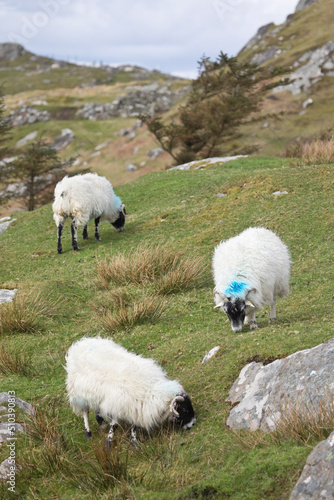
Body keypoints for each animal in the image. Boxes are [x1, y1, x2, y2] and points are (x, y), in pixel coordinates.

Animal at [64, 336, 196, 450]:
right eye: (184, 409)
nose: (193, 423)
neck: (150, 390)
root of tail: (82, 342)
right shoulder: (117, 404)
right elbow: (115, 425)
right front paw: (109, 443)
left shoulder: (134, 406)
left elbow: (134, 426)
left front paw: (134, 443)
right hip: (78, 394)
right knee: (85, 412)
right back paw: (88, 433)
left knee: (96, 408)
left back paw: (100, 421)